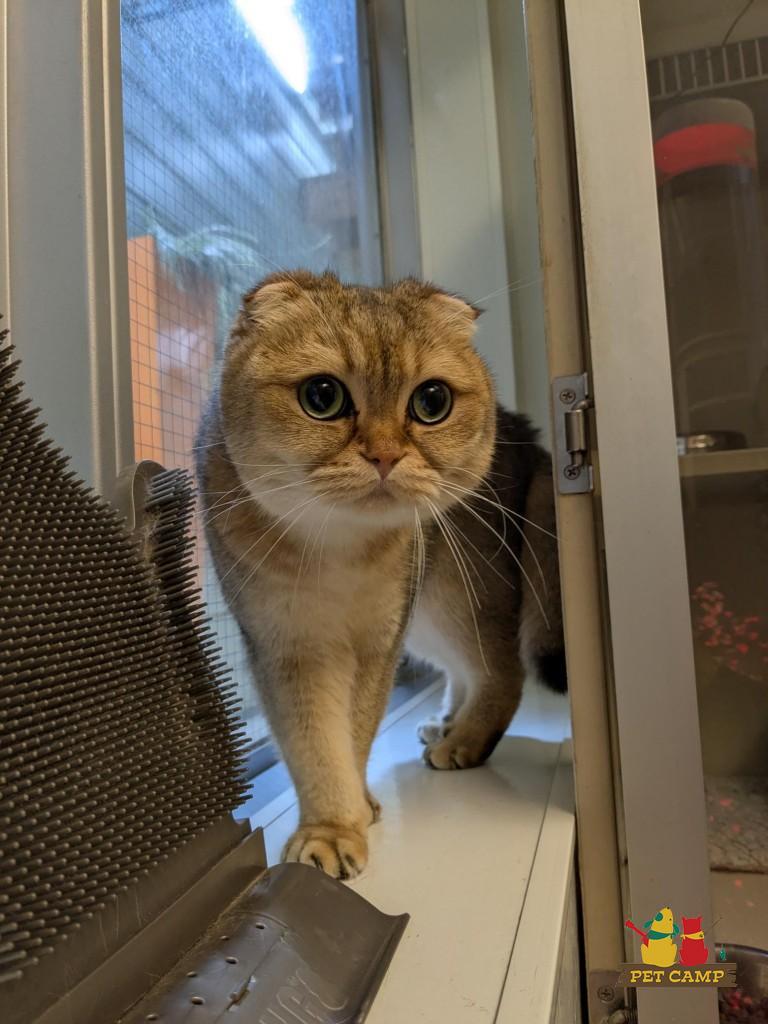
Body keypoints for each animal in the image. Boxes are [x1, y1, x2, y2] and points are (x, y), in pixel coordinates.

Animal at [196, 270, 565, 879]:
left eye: (432, 401)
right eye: (322, 397)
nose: (386, 456)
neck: (340, 548)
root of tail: (530, 438)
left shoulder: (378, 641)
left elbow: (355, 730)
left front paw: (345, 819)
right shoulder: (290, 647)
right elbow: (316, 745)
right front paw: (334, 825)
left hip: (456, 595)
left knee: (503, 670)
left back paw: (465, 740)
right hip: (429, 618)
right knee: (468, 670)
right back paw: (448, 723)